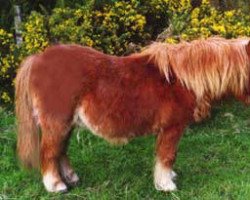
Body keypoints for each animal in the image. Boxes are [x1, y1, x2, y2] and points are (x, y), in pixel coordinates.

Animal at [15, 37, 250, 192]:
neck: (182, 79)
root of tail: (37, 58)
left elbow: (165, 155)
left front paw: (168, 177)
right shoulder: (173, 128)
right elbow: (167, 155)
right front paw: (166, 185)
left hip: (67, 124)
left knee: (60, 151)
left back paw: (71, 179)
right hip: (57, 123)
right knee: (49, 152)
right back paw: (56, 186)